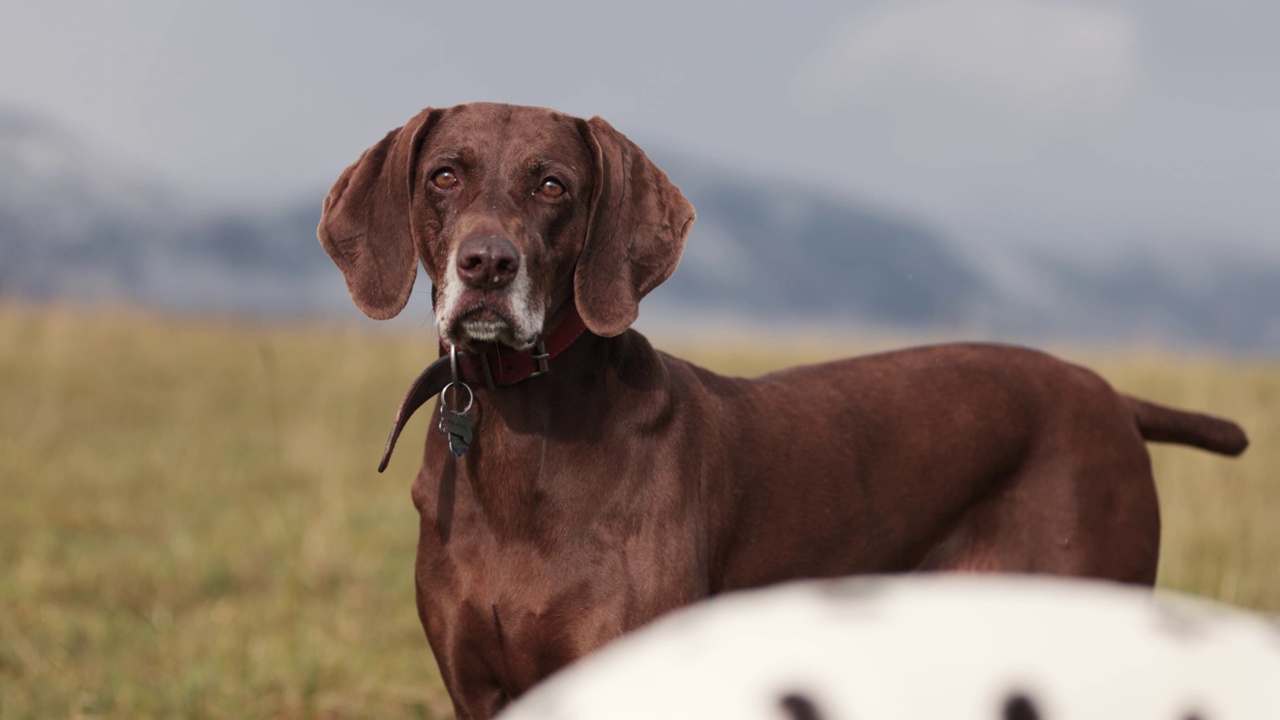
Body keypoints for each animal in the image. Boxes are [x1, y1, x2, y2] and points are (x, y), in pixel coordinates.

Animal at [317, 102, 1249, 717]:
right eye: (444, 176)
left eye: (553, 185)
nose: (486, 266)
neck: (524, 430)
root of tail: (1108, 395)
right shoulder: (479, 689)